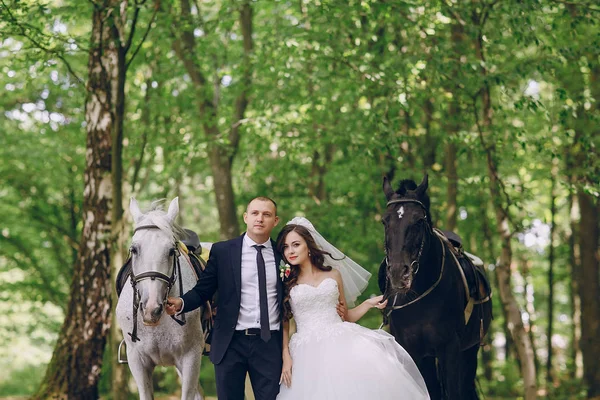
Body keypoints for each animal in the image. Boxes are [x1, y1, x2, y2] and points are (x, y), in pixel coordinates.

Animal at [380, 175, 492, 400]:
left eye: (419, 220)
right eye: (385, 221)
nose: (398, 274)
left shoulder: (450, 348)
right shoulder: (412, 351)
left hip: (470, 350)